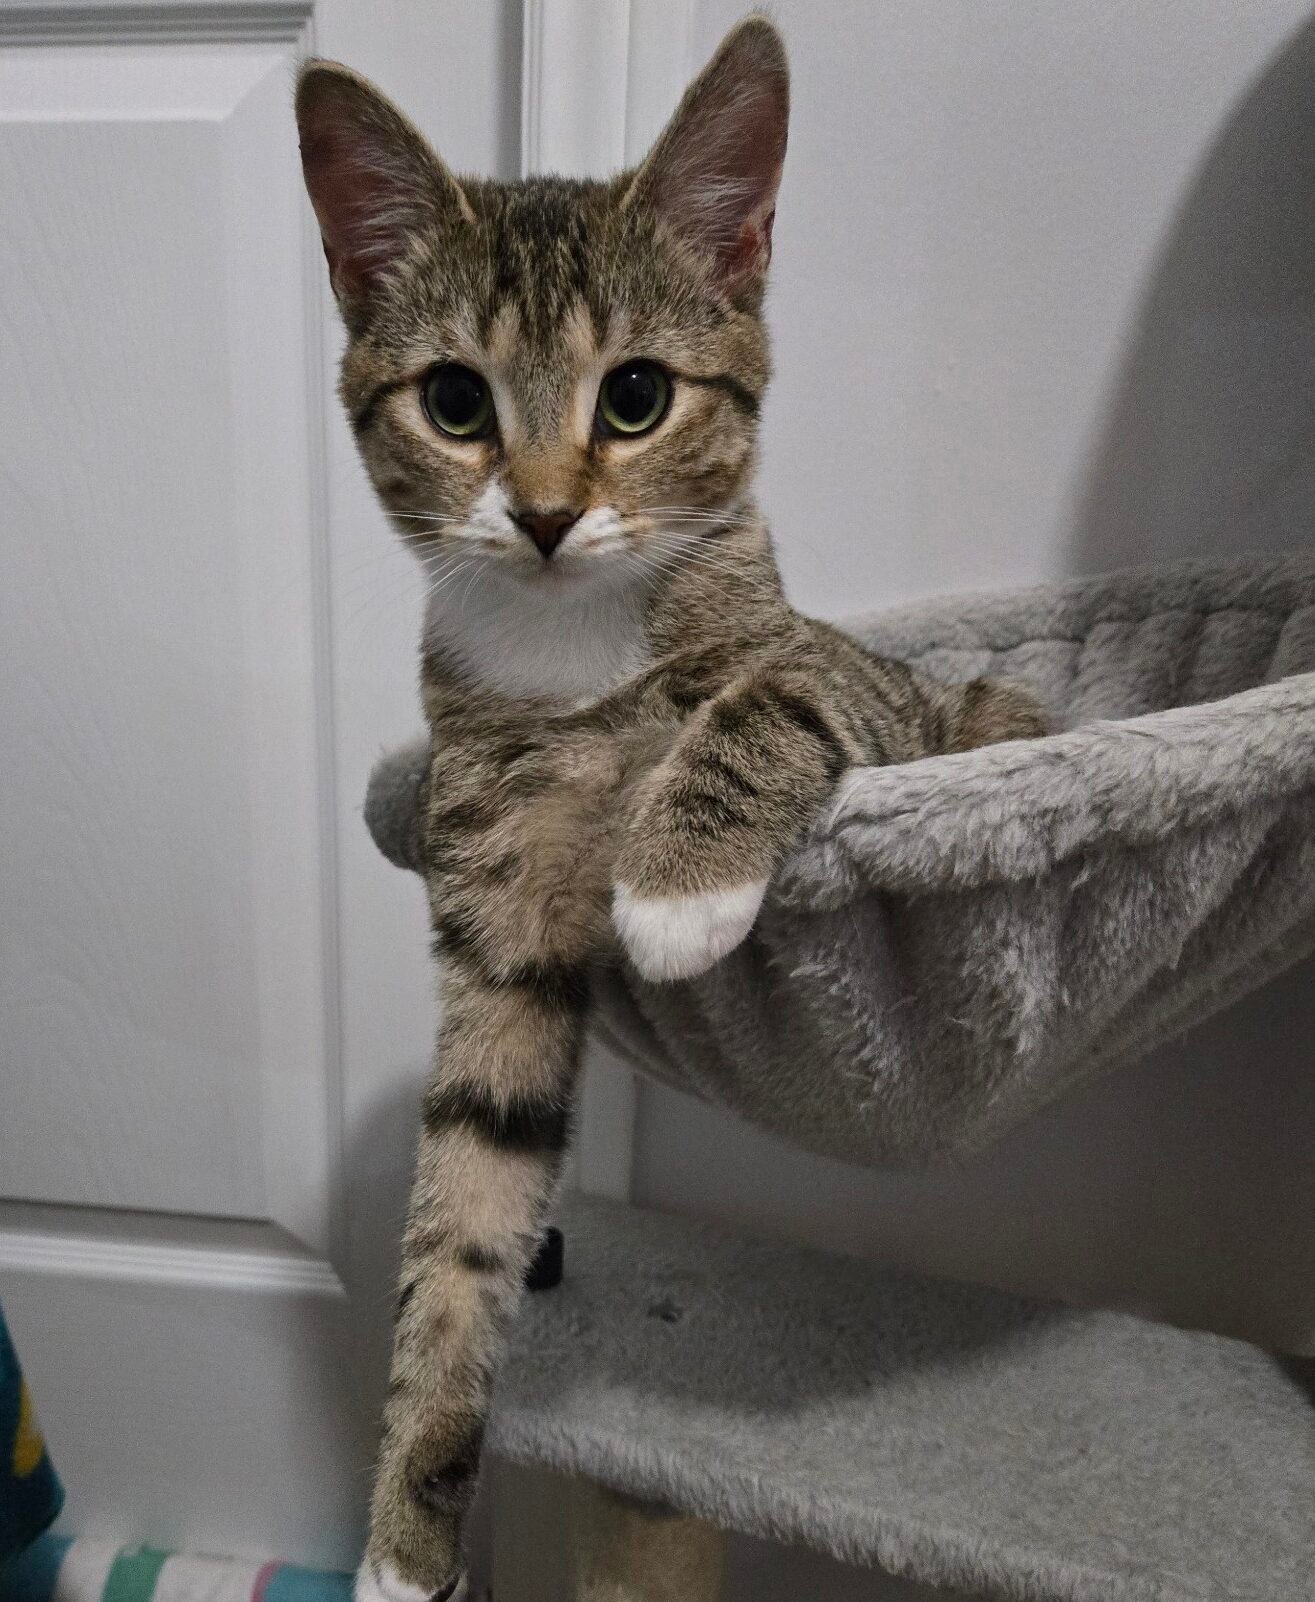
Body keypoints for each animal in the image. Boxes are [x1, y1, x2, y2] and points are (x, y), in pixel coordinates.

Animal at [296, 17, 1046, 1601]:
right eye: (455, 400)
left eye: (634, 396)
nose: (539, 512)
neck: (569, 650)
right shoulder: (490, 892)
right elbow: (464, 1203)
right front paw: (407, 1519)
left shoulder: (850, 687)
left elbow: (768, 698)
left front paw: (675, 885)